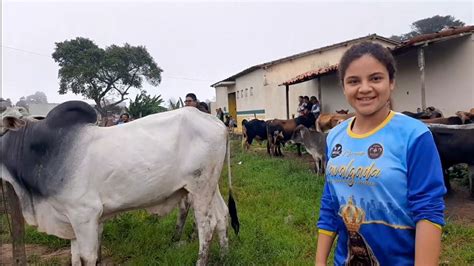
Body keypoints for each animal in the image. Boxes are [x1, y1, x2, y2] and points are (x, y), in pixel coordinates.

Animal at [0, 101, 237, 264]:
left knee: (206, 226)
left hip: (200, 187)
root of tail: (218, 123)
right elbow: (75, 258)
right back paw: (225, 257)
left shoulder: (84, 215)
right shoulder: (70, 220)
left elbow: (87, 258)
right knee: (222, 215)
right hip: (210, 185)